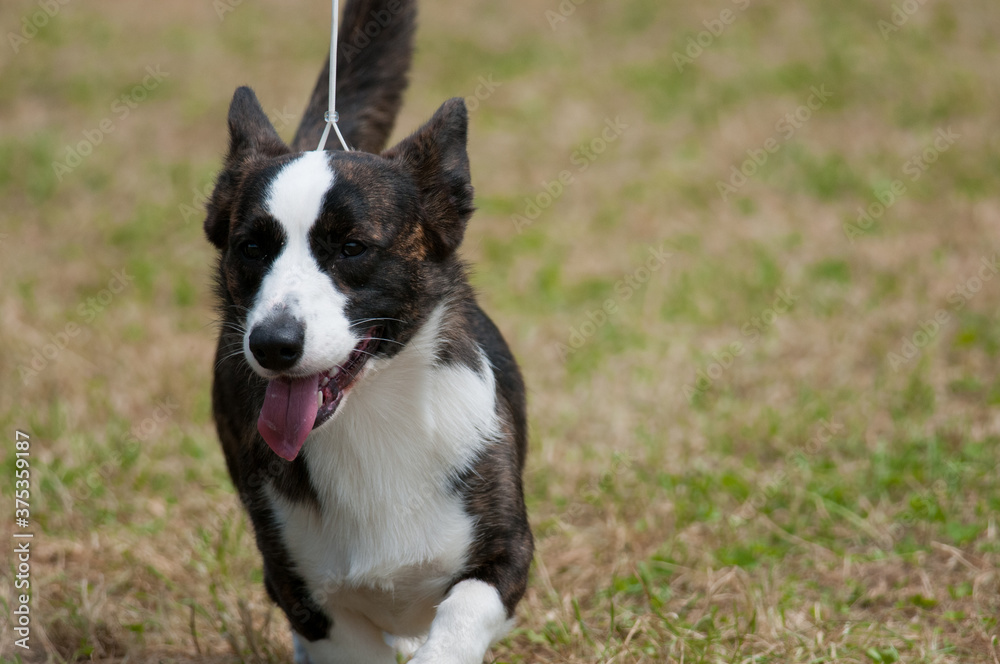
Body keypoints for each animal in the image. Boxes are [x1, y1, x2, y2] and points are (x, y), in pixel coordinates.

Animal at [199, 1, 536, 664]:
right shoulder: (305, 595)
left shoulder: (506, 558)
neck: (370, 417)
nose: (272, 345)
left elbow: (460, 616)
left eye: (352, 247)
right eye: (251, 247)